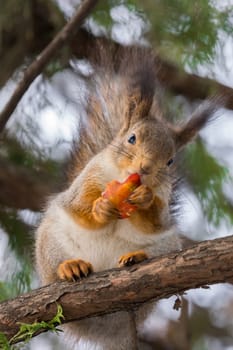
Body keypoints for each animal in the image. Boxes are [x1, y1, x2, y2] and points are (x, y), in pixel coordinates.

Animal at [35, 47, 218, 350]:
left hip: (166, 246)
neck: (121, 179)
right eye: (131, 139)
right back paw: (70, 266)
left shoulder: (163, 204)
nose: (144, 169)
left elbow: (156, 222)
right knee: (55, 267)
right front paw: (100, 207)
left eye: (170, 161)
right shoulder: (88, 178)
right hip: (51, 241)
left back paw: (136, 257)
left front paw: (144, 199)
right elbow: (79, 206)